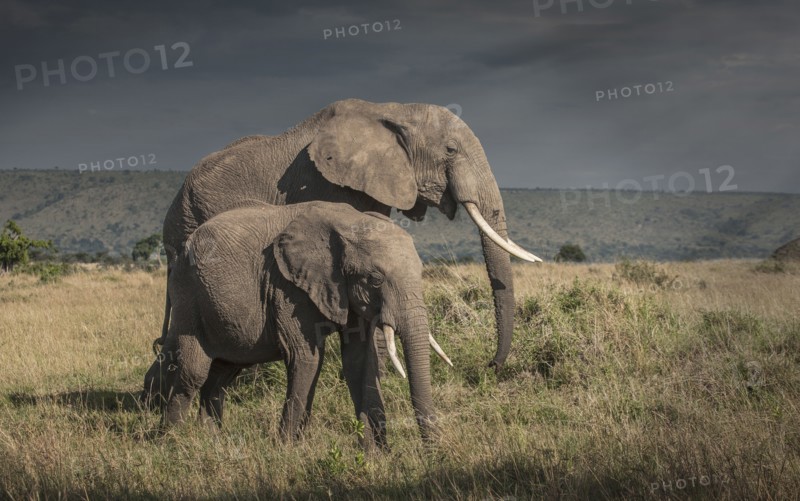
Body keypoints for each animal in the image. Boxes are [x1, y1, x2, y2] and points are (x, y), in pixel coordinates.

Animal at [142, 201, 452, 447]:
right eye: (375, 279)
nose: (432, 453)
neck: (348, 221)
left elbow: (360, 362)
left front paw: (374, 455)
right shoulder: (287, 285)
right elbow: (306, 357)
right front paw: (287, 450)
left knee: (221, 374)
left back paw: (212, 442)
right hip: (188, 295)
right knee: (193, 372)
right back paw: (170, 442)